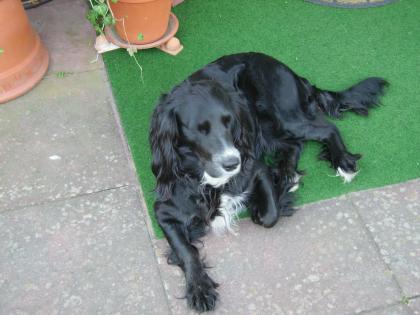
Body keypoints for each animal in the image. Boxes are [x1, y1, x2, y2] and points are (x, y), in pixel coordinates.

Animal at [148, 52, 388, 314]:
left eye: (229, 121)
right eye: (199, 129)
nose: (233, 163)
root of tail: (287, 70)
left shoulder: (255, 167)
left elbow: (269, 215)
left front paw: (268, 202)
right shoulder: (164, 210)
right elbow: (186, 250)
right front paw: (199, 288)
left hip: (285, 117)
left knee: (327, 129)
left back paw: (341, 161)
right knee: (294, 144)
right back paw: (287, 173)